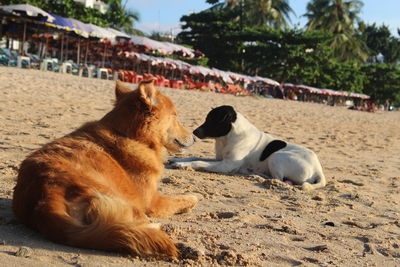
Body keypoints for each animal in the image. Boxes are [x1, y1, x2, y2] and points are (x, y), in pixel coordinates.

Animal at [12, 80, 198, 260]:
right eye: (175, 116)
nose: (196, 138)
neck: (127, 134)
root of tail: (44, 199)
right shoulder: (153, 202)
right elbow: (187, 198)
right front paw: (193, 197)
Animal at [169, 105, 324, 192]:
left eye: (212, 120)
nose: (194, 132)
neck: (227, 137)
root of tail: (318, 169)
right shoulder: (220, 159)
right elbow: (196, 157)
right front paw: (177, 159)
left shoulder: (226, 165)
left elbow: (199, 162)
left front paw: (182, 164)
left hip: (276, 157)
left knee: (278, 179)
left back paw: (256, 176)